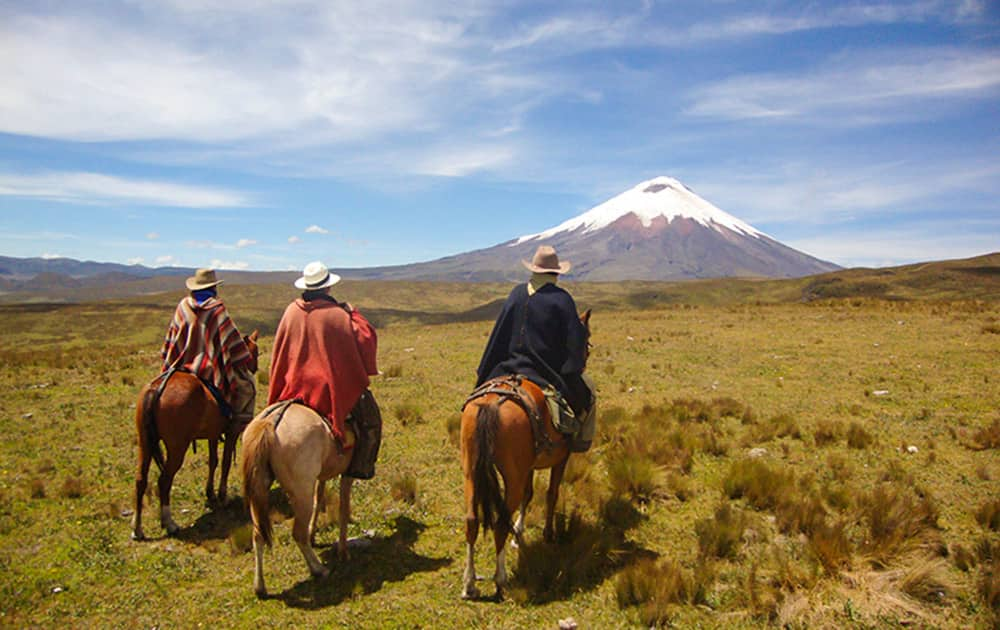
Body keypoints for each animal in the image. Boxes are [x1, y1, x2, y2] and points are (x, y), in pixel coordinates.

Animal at [129, 330, 260, 544]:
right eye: (255, 351)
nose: (254, 367)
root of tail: (156, 389)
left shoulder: (213, 435)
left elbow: (213, 461)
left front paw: (210, 494)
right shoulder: (231, 432)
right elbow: (225, 463)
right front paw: (222, 496)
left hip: (145, 442)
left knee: (141, 479)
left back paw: (137, 528)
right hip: (176, 447)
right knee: (164, 480)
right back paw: (169, 523)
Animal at [243, 402, 360, 600]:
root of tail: (270, 422)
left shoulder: (321, 476)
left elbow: (319, 498)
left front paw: (313, 534)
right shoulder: (348, 473)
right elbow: (343, 507)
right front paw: (343, 552)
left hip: (258, 491)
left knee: (258, 534)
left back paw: (260, 587)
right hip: (301, 492)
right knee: (297, 533)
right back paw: (318, 569)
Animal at [462, 312, 592, 604]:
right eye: (586, 338)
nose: (586, 357)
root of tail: (491, 403)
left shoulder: (528, 467)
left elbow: (529, 494)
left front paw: (519, 533)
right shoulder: (560, 460)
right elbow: (551, 494)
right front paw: (548, 534)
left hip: (472, 473)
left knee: (472, 520)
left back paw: (469, 584)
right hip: (510, 476)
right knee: (499, 522)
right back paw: (500, 579)